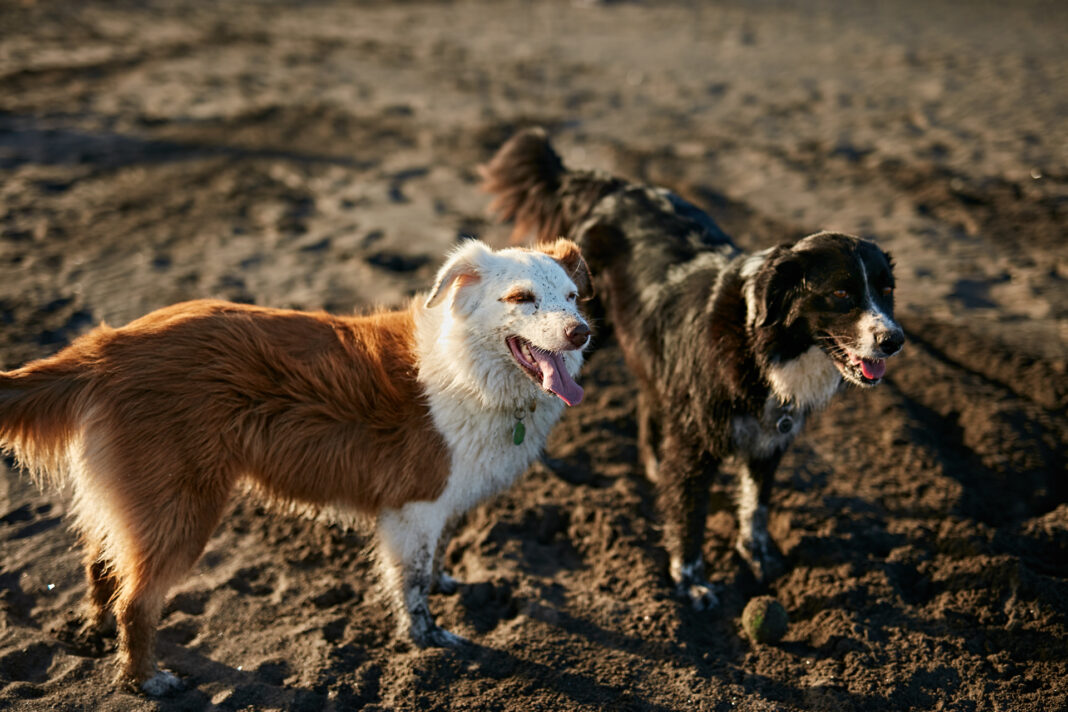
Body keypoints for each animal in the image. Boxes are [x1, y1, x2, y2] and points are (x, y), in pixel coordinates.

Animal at [0, 236, 593, 691]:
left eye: (572, 296)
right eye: (520, 298)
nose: (580, 332)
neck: (466, 366)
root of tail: (106, 348)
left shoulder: (436, 504)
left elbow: (432, 562)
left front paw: (447, 582)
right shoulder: (414, 506)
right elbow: (412, 583)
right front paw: (428, 640)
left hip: (137, 500)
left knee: (102, 567)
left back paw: (98, 632)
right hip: (182, 508)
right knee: (137, 602)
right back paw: (146, 680)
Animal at [480, 128, 905, 606]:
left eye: (887, 291)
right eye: (841, 294)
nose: (895, 340)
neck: (760, 344)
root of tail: (611, 185)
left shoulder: (769, 440)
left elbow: (756, 505)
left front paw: (758, 557)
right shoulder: (697, 444)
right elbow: (691, 513)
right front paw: (690, 581)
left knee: (648, 396)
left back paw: (652, 464)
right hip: (585, 328)